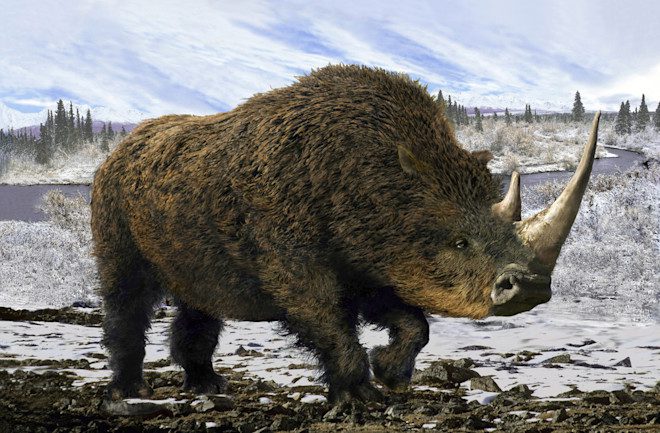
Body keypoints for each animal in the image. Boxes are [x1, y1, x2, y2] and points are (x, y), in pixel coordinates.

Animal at [91, 65, 601, 404]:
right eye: (459, 242)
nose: (530, 288)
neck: (384, 184)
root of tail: (118, 149)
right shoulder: (295, 260)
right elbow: (328, 321)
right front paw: (360, 396)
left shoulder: (375, 260)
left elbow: (413, 323)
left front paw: (392, 375)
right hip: (111, 200)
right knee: (127, 292)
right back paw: (128, 391)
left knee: (200, 295)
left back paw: (209, 386)